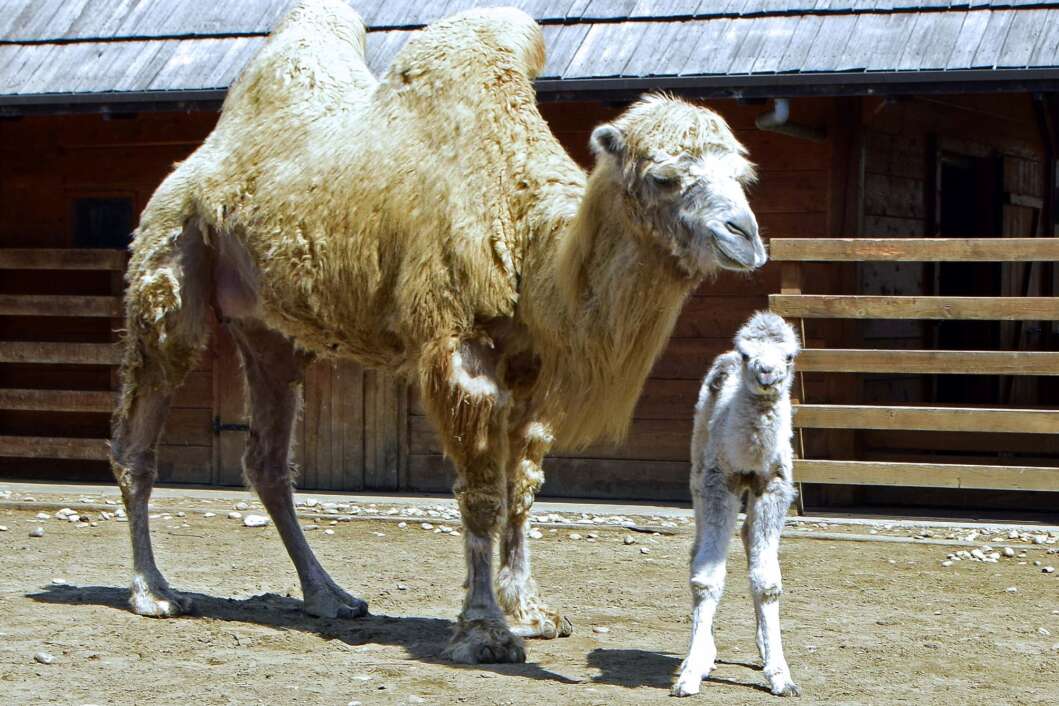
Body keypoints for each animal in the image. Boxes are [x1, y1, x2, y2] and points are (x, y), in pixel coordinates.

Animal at [111, 0, 766, 664]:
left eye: (744, 175)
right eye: (664, 177)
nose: (746, 236)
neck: (526, 235)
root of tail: (195, 159)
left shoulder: (531, 365)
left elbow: (523, 487)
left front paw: (531, 612)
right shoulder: (459, 349)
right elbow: (481, 493)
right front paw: (484, 631)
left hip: (267, 330)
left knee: (267, 460)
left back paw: (329, 596)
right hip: (171, 262)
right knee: (140, 429)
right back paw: (154, 591)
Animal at [673, 311, 796, 698]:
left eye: (789, 356)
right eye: (746, 354)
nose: (767, 373)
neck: (749, 458)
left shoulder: (774, 484)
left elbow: (767, 582)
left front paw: (781, 675)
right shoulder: (718, 481)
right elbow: (706, 578)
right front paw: (690, 674)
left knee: (745, 533)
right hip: (698, 467)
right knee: (698, 549)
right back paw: (703, 654)